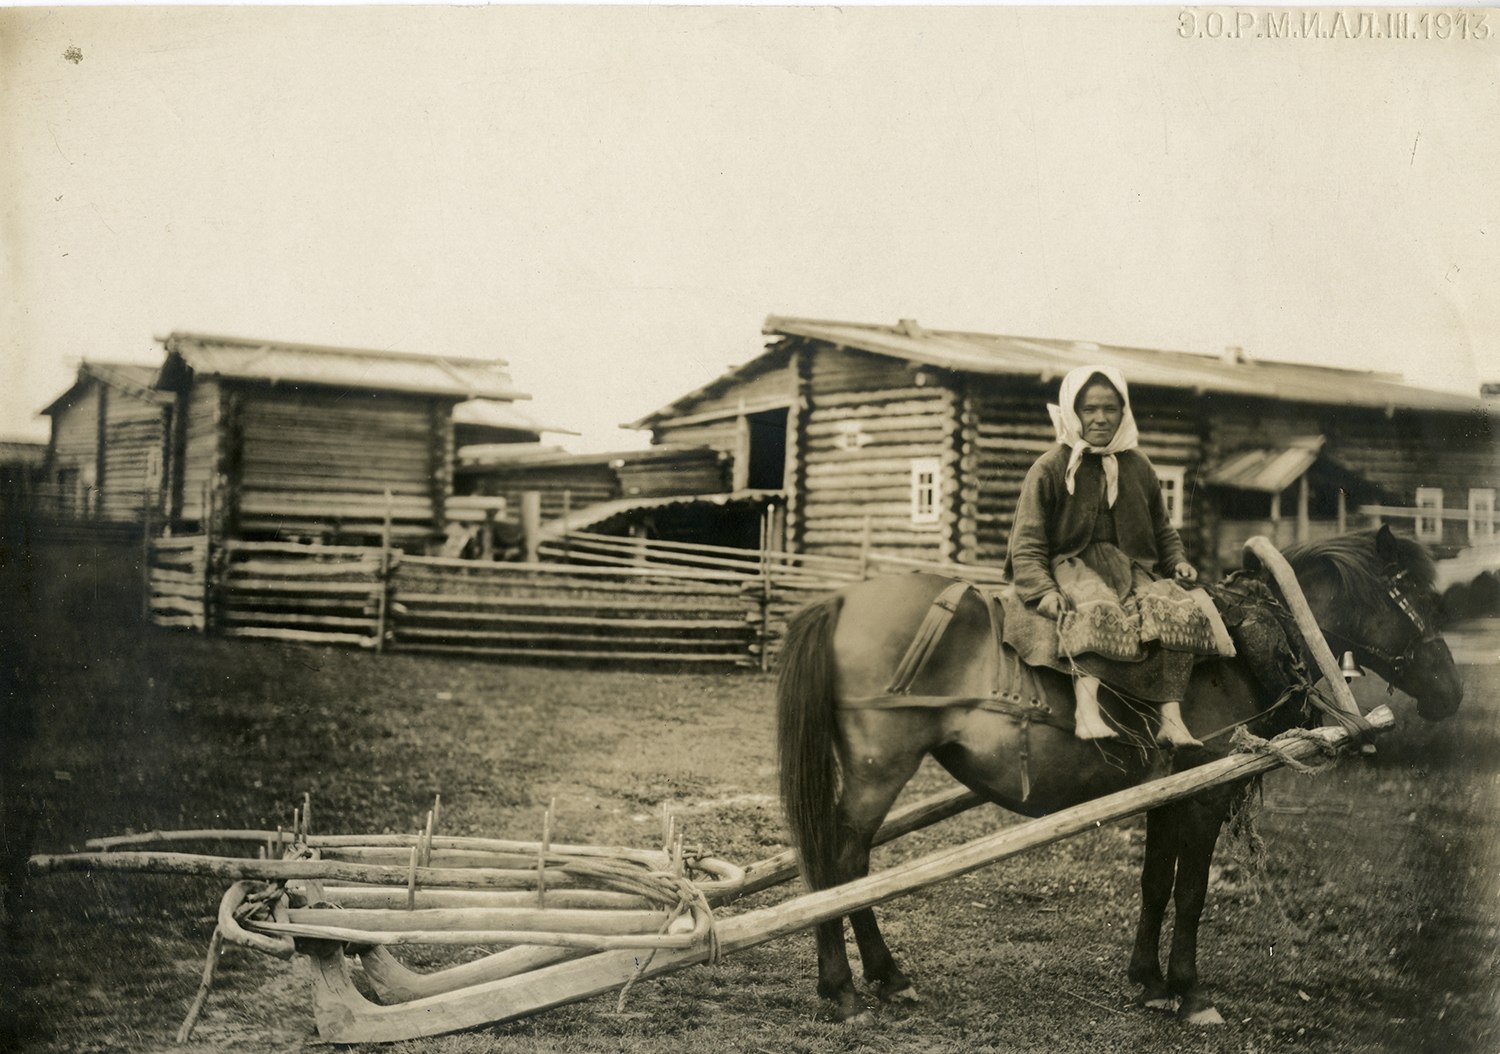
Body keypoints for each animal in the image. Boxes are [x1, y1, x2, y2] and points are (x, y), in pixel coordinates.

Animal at [780, 527, 1458, 1031]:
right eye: (1422, 603)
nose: (1451, 691)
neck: (1248, 643)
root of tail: (841, 600)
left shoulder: (1167, 798)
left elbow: (1155, 885)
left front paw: (1149, 982)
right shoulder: (1204, 799)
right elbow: (1191, 896)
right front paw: (1189, 993)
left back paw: (880, 978)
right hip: (881, 770)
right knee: (842, 864)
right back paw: (849, 987)